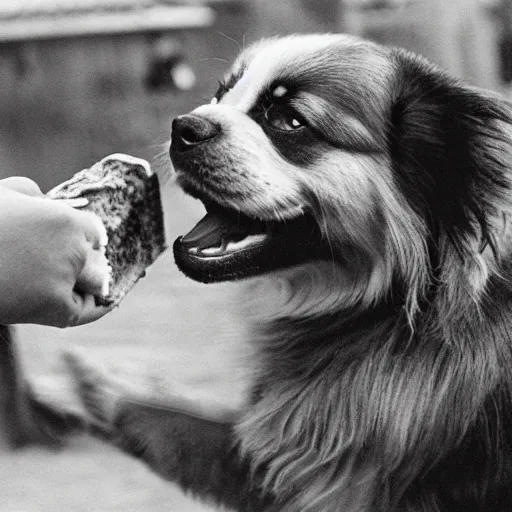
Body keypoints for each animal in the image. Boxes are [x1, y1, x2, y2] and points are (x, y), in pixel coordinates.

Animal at [35, 34, 512, 510]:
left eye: (289, 121)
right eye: (220, 96)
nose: (184, 126)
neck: (390, 309)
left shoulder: (323, 474)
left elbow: (173, 420)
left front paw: (100, 386)